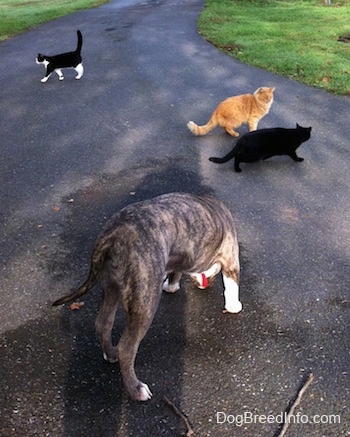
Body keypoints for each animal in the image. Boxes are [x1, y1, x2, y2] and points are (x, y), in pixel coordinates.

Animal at [52, 192, 243, 400]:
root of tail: (114, 234)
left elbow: (176, 272)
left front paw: (172, 285)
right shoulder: (231, 256)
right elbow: (232, 283)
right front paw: (234, 305)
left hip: (111, 287)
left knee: (103, 323)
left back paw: (110, 354)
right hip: (145, 302)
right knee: (127, 348)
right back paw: (136, 389)